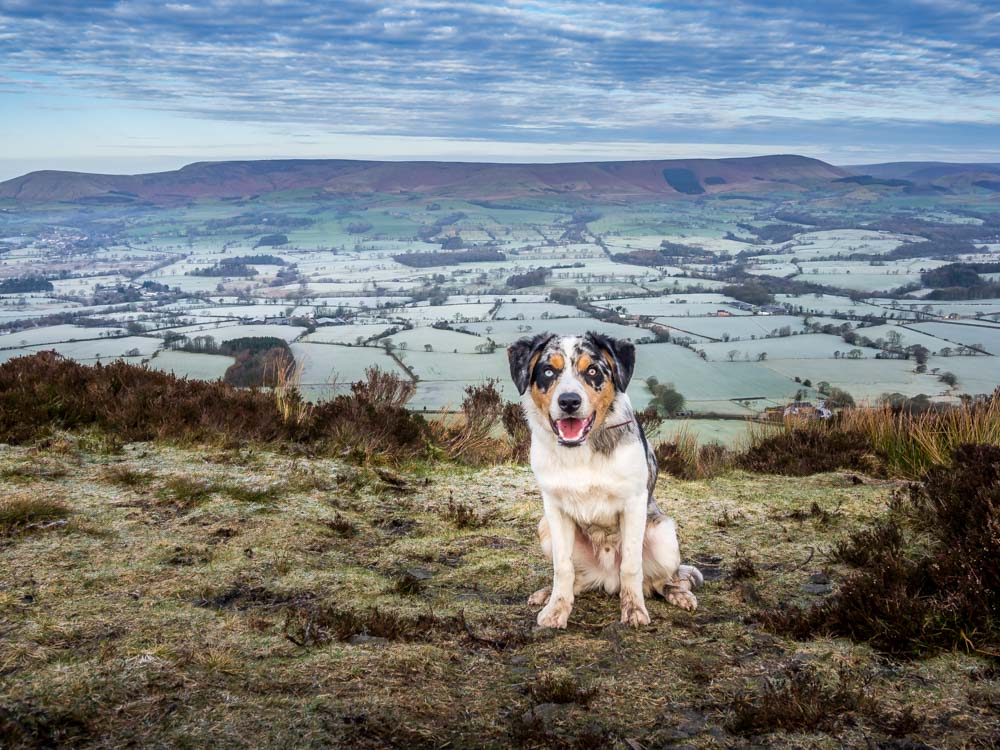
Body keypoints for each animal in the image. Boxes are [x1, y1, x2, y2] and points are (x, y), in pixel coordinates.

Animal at [508, 332, 704, 632]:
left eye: (592, 371)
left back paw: (678, 594)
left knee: (660, 580)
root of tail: (608, 580)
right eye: (548, 371)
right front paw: (556, 609)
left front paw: (633, 610)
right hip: (545, 528)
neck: (580, 451)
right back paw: (548, 594)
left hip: (664, 535)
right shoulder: (554, 508)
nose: (569, 402)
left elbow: (632, 566)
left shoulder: (634, 504)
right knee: (579, 579)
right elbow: (562, 567)